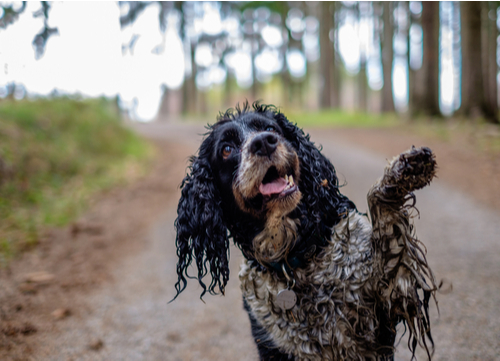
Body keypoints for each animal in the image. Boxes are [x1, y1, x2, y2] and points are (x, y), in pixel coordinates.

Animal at [173, 102, 438, 358]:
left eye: (270, 129)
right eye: (226, 149)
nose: (263, 143)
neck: (296, 257)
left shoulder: (390, 299)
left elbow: (380, 211)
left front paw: (405, 169)